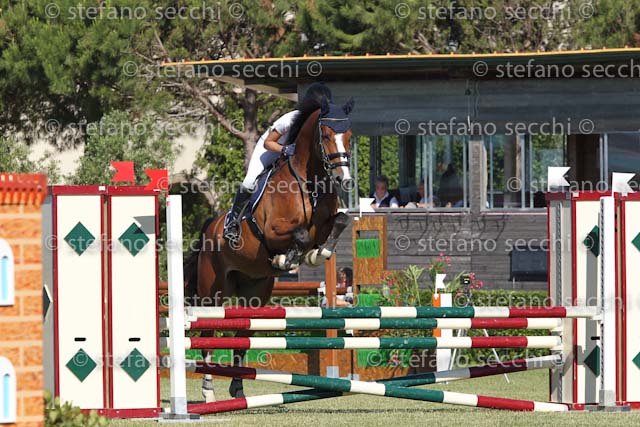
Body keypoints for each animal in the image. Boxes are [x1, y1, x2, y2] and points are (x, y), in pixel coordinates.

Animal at [184, 96, 354, 401]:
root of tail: (210, 228)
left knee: (243, 334)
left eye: (349, 135)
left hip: (255, 292)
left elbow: (341, 220)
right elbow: (299, 234)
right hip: (212, 293)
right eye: (325, 135)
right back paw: (208, 391)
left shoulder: (325, 224)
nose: (344, 179)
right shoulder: (274, 231)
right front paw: (289, 259)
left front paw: (318, 253)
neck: (310, 181)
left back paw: (238, 387)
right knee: (208, 333)